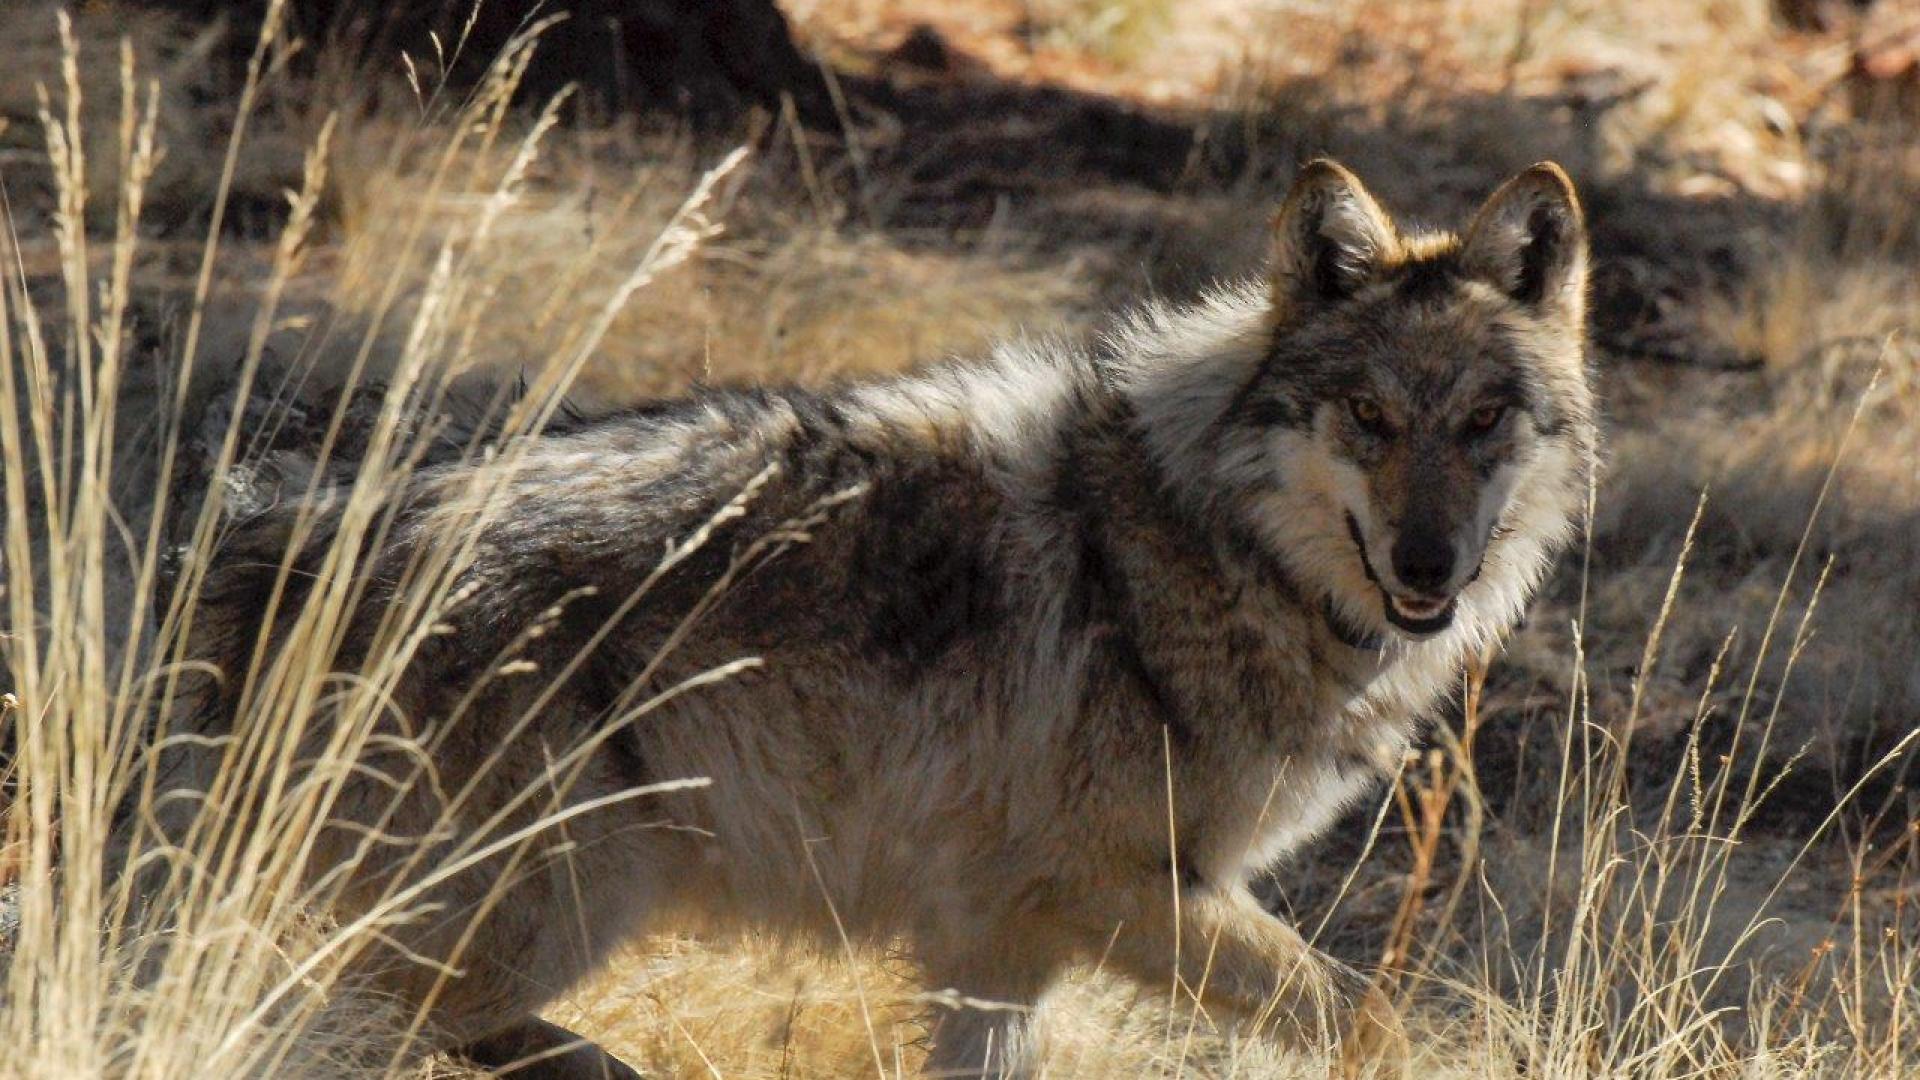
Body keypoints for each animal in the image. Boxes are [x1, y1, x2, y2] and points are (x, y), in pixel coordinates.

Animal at [157, 155, 1605, 1068]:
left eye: (1486, 420)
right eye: (1368, 415)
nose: (1429, 565)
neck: (1206, 543)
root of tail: (274, 533)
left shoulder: (997, 943)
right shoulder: (1114, 894)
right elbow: (1382, 1025)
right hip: (541, 916)